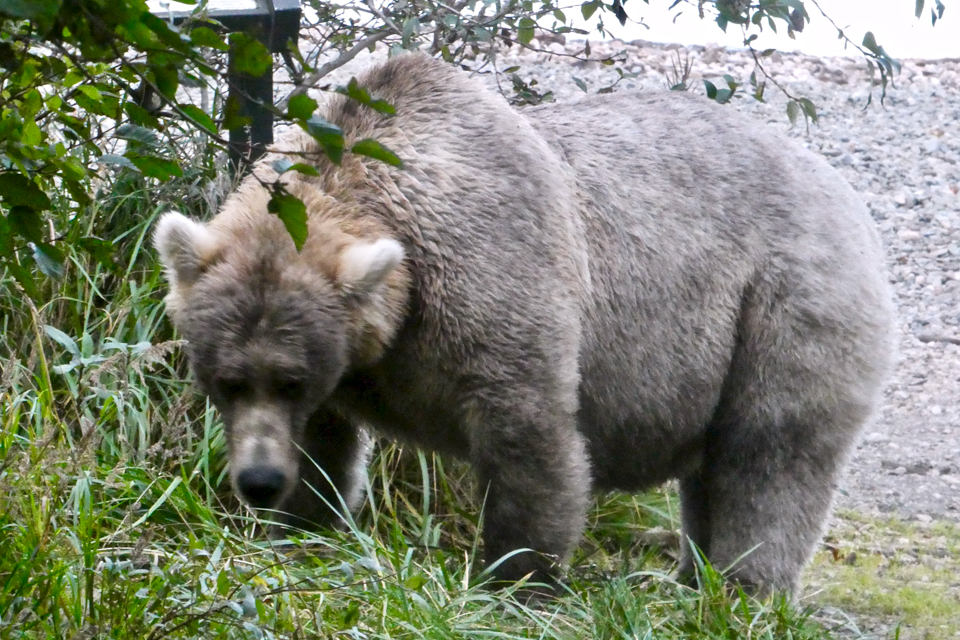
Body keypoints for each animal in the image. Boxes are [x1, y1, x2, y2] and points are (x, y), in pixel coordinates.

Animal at [154, 52, 895, 595]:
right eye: (227, 381)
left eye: (288, 380)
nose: (256, 482)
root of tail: (840, 189)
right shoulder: (351, 366)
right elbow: (326, 449)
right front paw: (304, 525)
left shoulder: (494, 269)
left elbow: (529, 431)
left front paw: (516, 575)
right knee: (715, 468)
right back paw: (691, 576)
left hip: (781, 301)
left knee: (771, 453)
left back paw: (741, 586)